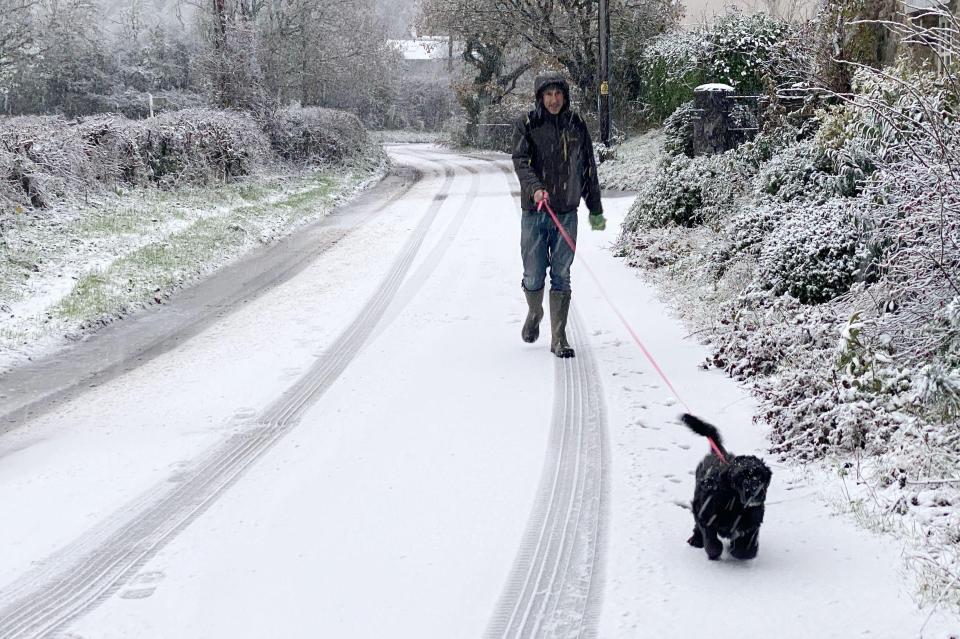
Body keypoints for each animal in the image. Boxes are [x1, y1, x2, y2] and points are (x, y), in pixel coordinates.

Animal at [684, 416, 772, 560]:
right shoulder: (705, 512)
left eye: (761, 476)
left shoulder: (753, 521)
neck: (734, 502)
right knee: (697, 524)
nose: (756, 492)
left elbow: (746, 550)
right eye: (740, 477)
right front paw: (715, 551)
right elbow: (711, 540)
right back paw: (696, 540)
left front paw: (738, 549)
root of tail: (719, 453)